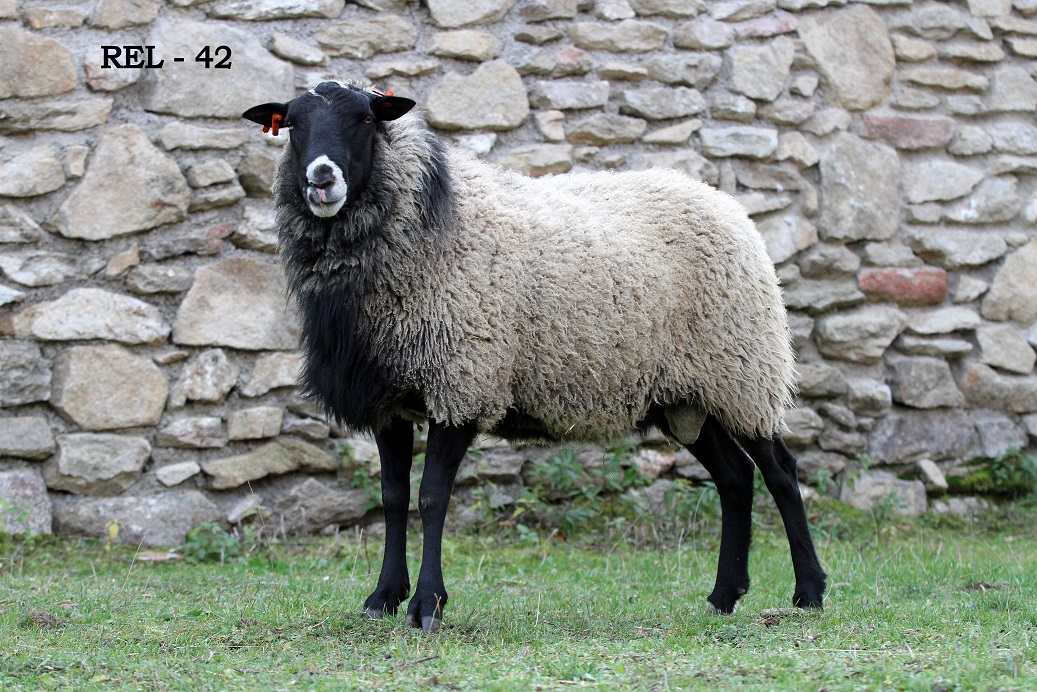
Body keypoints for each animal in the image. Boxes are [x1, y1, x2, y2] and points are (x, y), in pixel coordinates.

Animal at [243, 81, 827, 632]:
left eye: (364, 119)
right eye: (292, 125)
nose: (321, 178)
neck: (427, 225)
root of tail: (722, 201)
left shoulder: (463, 380)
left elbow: (431, 497)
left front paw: (427, 605)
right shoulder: (389, 398)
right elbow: (391, 497)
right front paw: (382, 598)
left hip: (741, 369)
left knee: (779, 471)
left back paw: (809, 593)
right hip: (684, 395)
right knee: (735, 477)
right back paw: (724, 596)